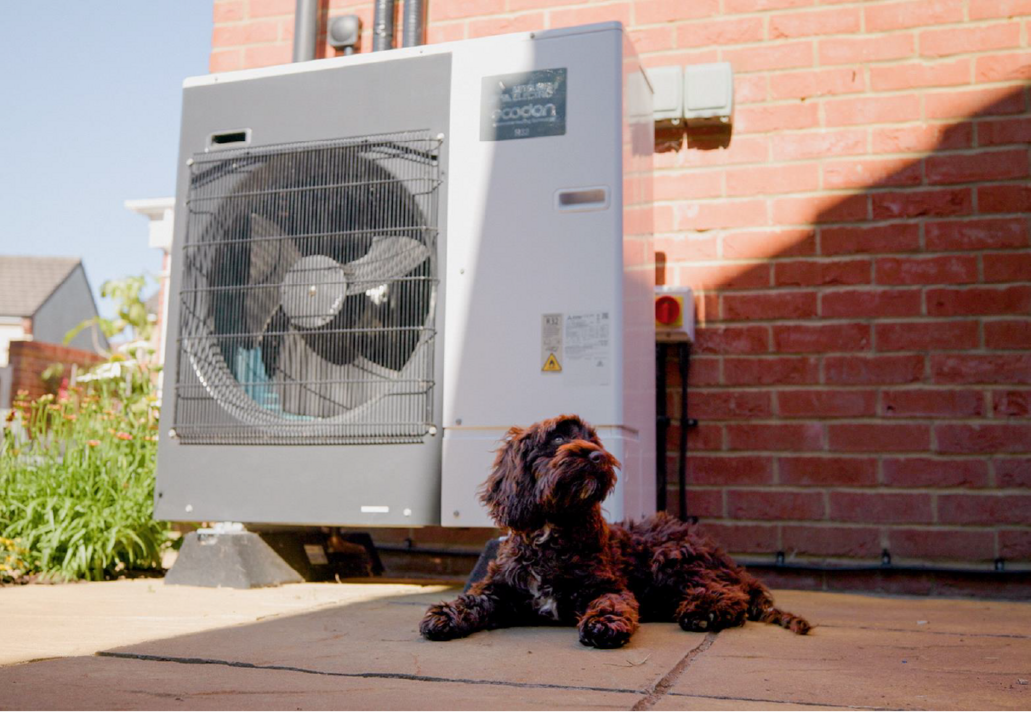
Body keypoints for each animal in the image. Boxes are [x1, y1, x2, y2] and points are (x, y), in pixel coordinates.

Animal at [422, 414, 808, 647]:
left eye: (593, 439)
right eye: (556, 438)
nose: (597, 456)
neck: (554, 531)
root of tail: (728, 561)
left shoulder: (607, 586)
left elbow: (611, 602)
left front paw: (604, 624)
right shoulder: (500, 590)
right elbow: (473, 599)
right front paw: (445, 614)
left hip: (671, 556)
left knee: (729, 595)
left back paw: (703, 612)